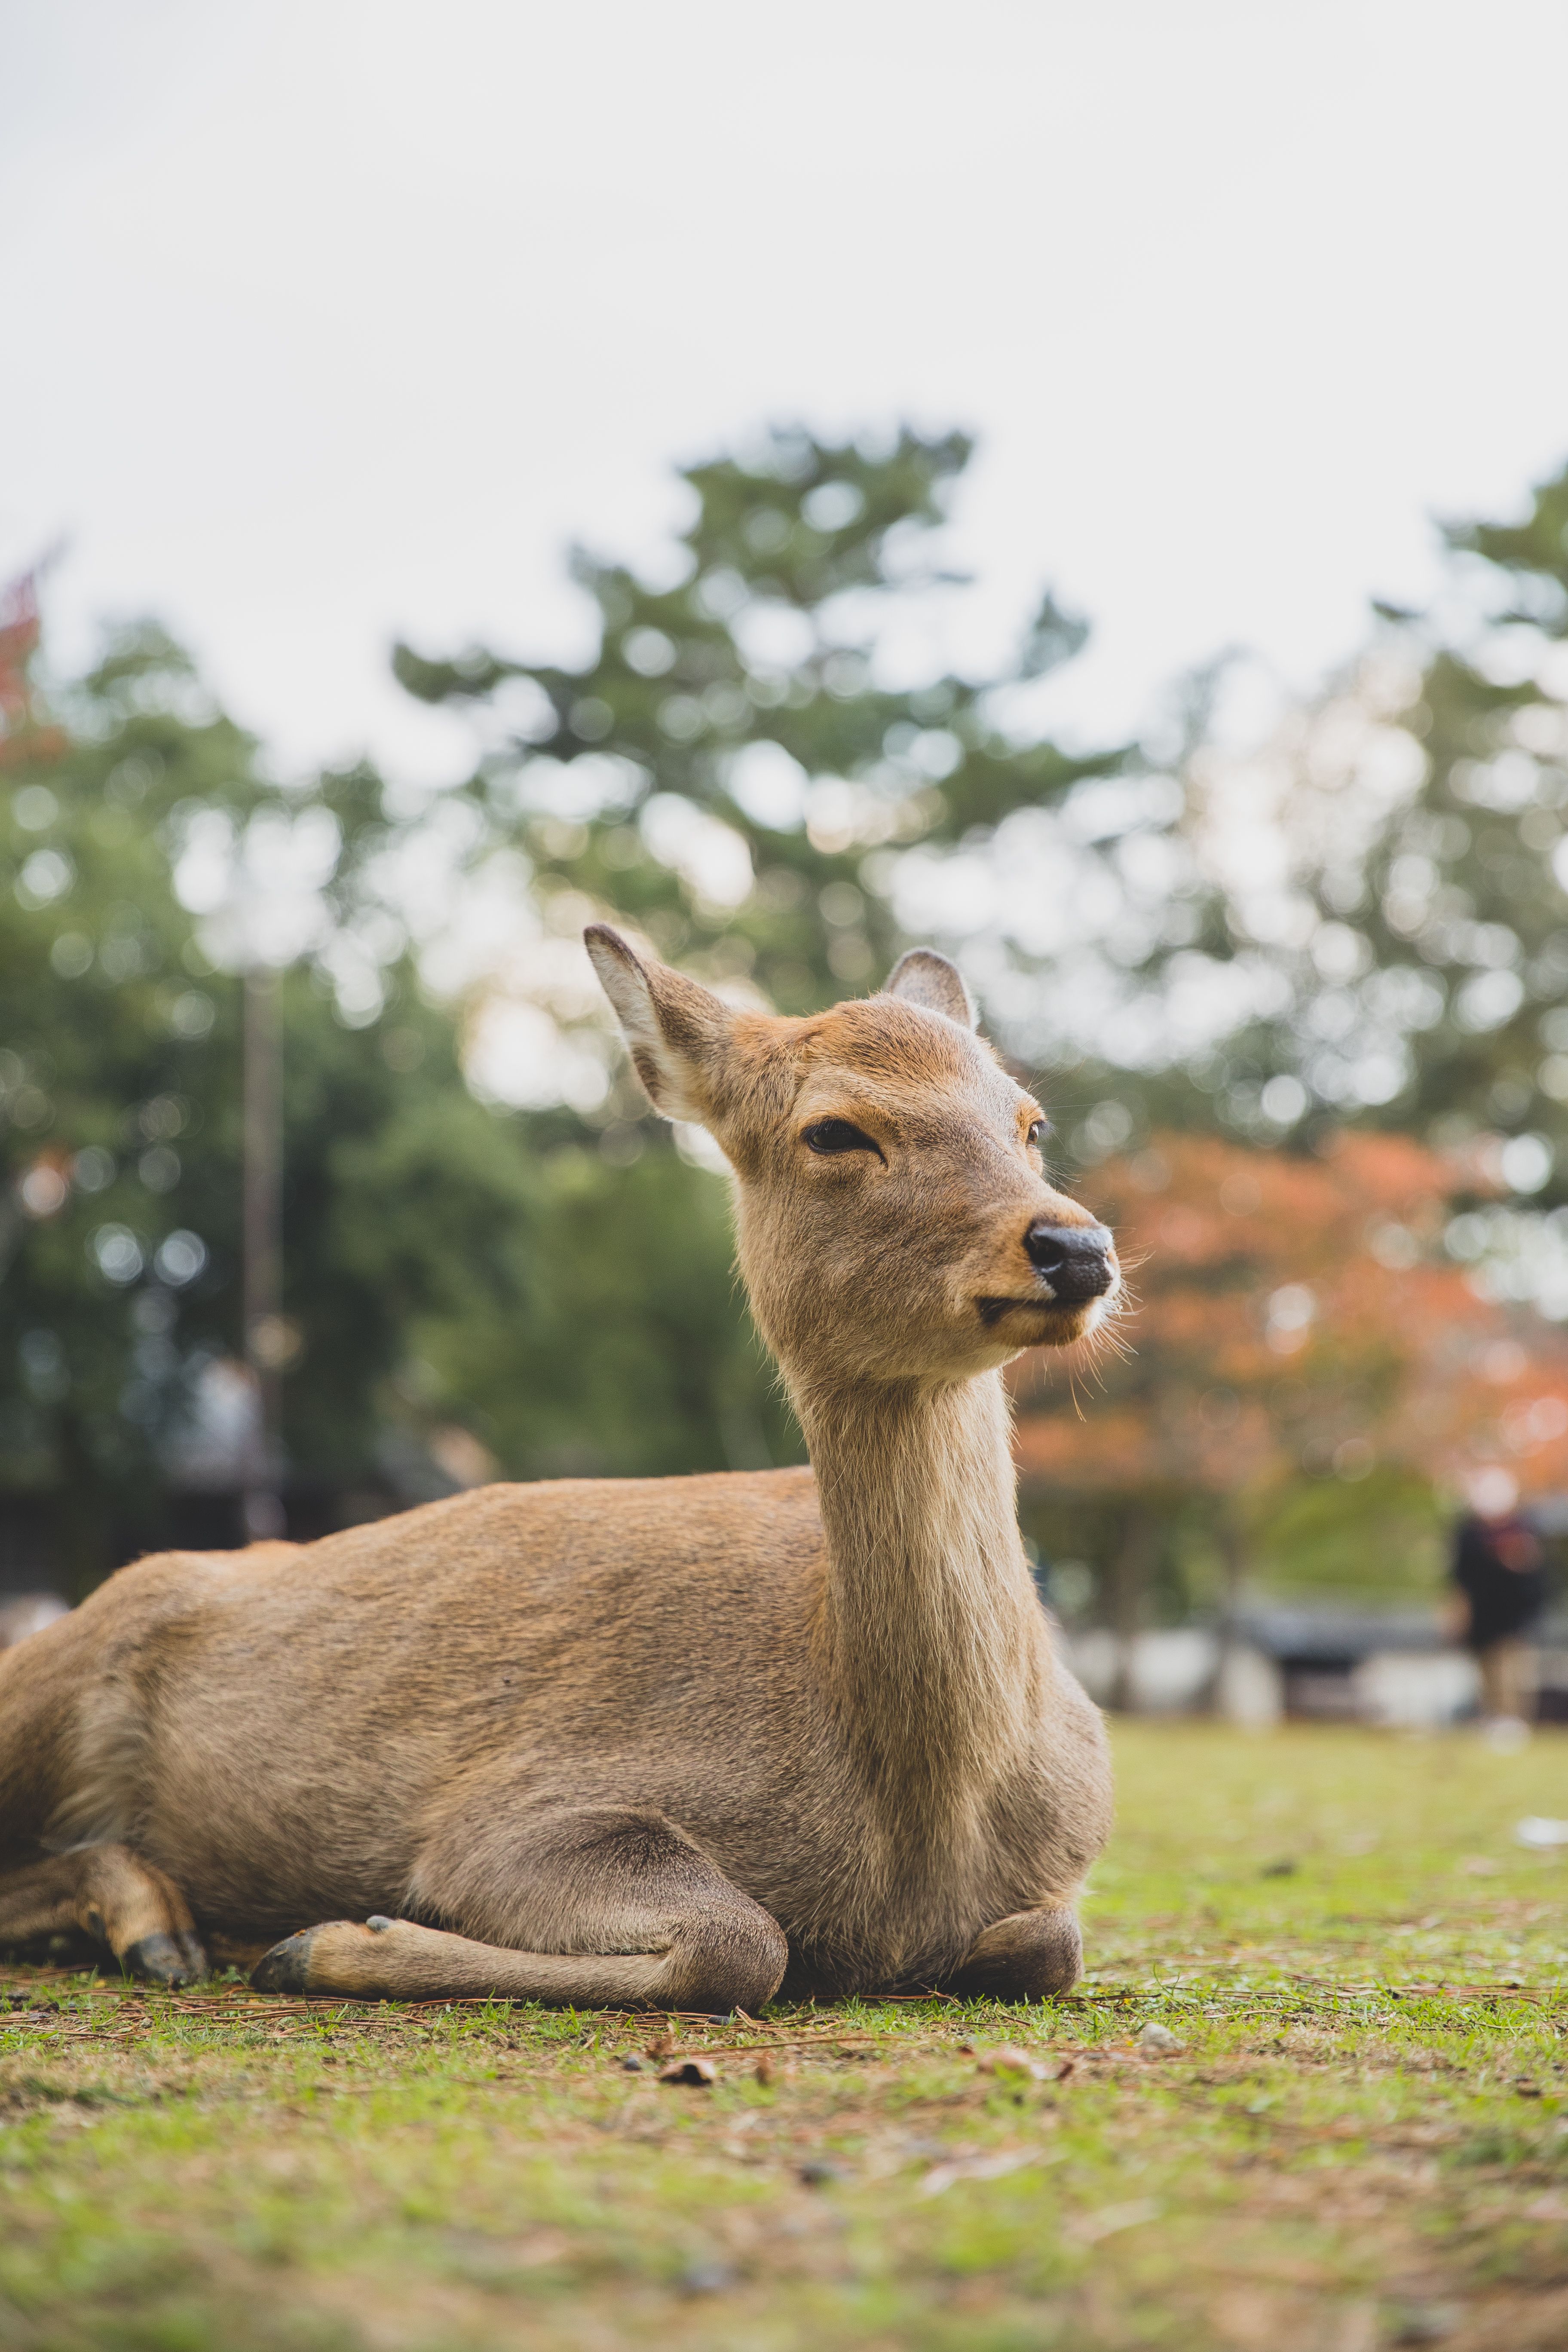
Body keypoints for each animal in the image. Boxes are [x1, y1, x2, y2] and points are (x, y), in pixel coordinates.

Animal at [0, 930, 1119, 2009]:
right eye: (835, 1130)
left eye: (1029, 1121)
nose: (1075, 1245)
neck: (921, 1820)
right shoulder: (515, 1809)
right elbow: (741, 1940)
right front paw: (330, 1940)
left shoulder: (1059, 1876)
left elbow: (1048, 1941)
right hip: (45, 1689)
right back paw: (163, 1924)